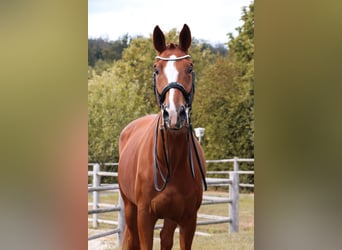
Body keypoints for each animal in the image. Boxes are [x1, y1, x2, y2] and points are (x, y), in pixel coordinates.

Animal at [119, 23, 206, 250]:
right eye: (156, 69)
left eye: (190, 68)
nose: (174, 114)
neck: (172, 161)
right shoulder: (144, 217)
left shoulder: (188, 220)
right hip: (130, 208)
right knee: (131, 239)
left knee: (166, 238)